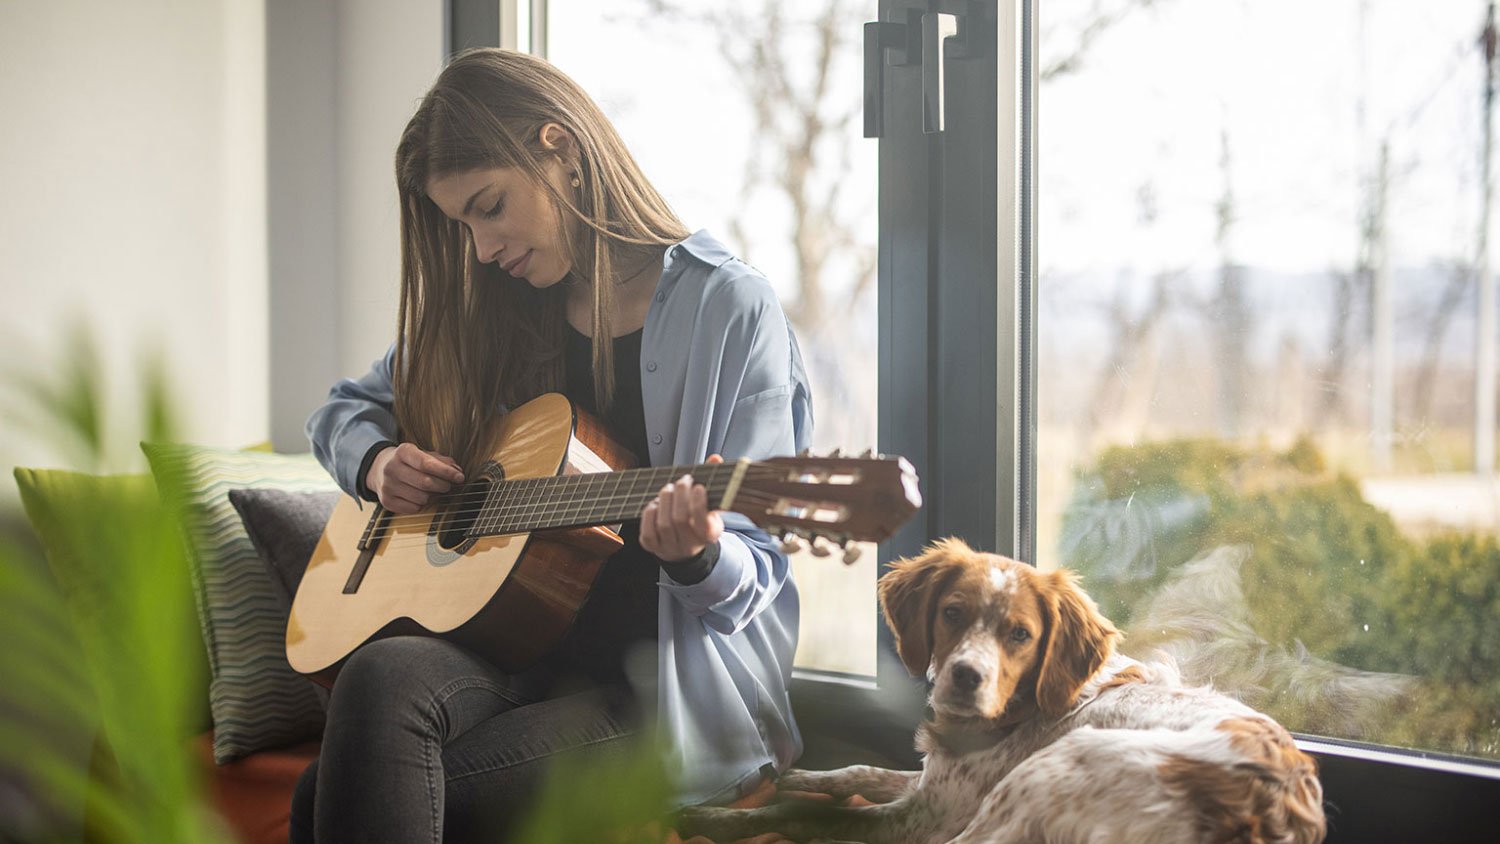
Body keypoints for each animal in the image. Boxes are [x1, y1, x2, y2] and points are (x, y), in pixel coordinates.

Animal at [681, 542, 1326, 844]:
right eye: (951, 612)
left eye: (1021, 634)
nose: (966, 676)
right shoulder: (936, 786)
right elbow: (858, 772)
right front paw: (801, 776)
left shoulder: (924, 818)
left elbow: (804, 813)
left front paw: (711, 816)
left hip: (1045, 775)